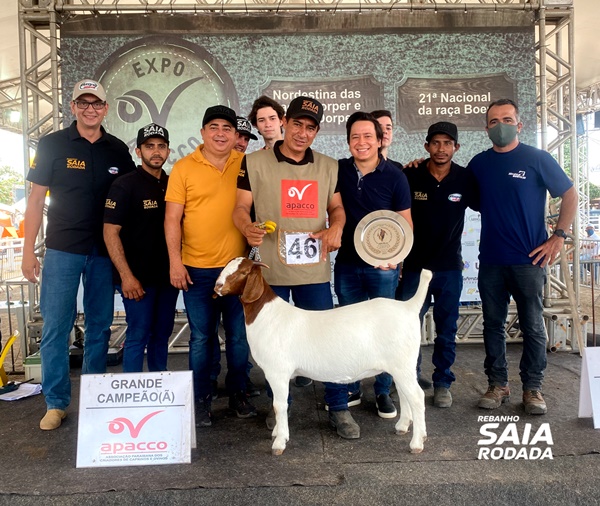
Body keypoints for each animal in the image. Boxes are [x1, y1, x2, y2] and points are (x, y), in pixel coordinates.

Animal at [214, 256, 432, 454]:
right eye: (226, 267)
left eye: (243, 272)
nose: (217, 286)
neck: (268, 315)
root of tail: (408, 307)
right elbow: (278, 404)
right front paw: (277, 432)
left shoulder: (278, 372)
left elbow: (279, 405)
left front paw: (280, 442)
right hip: (401, 366)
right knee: (404, 394)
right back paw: (403, 427)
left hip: (402, 364)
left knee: (416, 396)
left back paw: (417, 443)